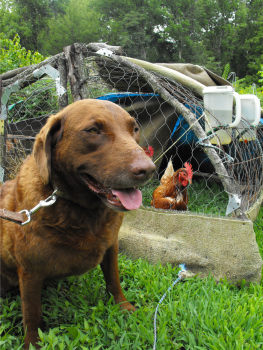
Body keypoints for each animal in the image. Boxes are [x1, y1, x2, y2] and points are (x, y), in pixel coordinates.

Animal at [0, 100, 156, 348]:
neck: (83, 210)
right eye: (93, 131)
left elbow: (114, 280)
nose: (148, 169)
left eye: (134, 129)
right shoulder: (30, 271)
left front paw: (124, 307)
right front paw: (32, 344)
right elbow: (32, 314)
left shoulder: (111, 246)